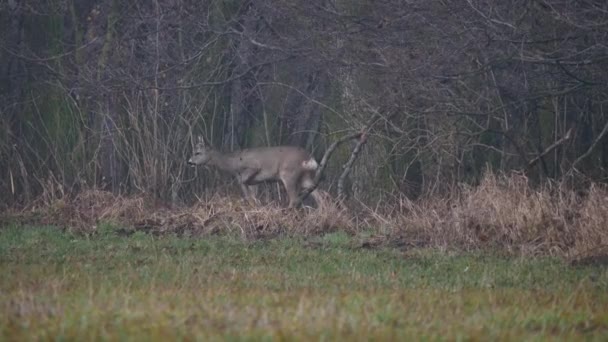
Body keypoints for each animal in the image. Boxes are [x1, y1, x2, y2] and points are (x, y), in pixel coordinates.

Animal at [188, 136, 320, 206]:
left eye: (197, 153)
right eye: (193, 151)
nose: (189, 162)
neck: (234, 164)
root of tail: (309, 157)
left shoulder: (254, 167)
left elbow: (244, 186)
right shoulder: (254, 182)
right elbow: (251, 196)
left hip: (289, 174)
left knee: (294, 198)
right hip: (305, 177)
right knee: (319, 193)